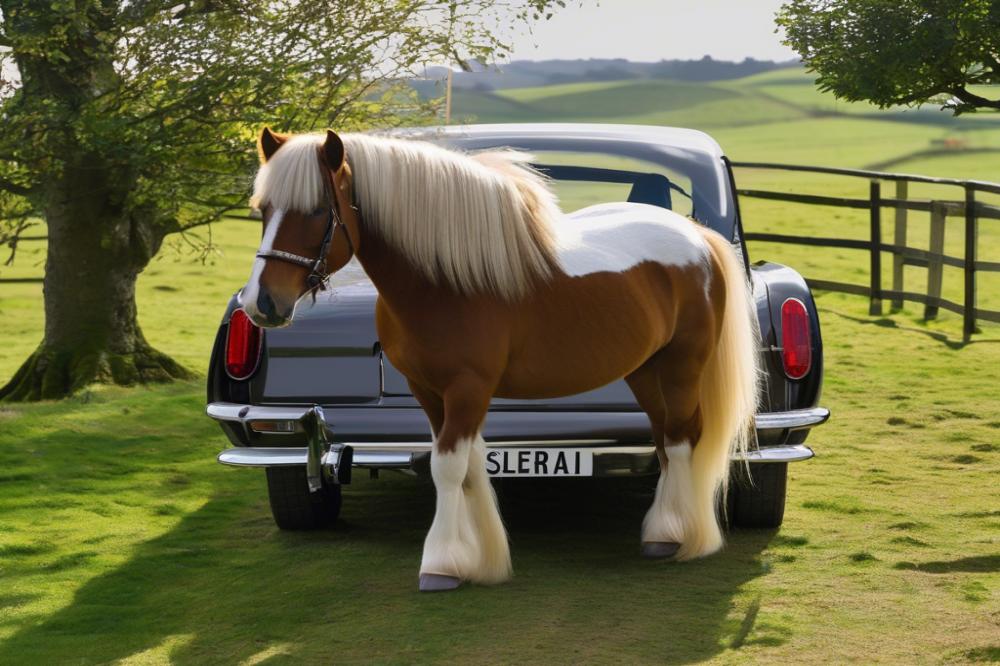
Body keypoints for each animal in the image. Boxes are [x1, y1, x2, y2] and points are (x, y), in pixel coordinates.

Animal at [242, 128, 756, 592]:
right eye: (262, 210)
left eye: (316, 211)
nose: (261, 304)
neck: (445, 280)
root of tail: (698, 237)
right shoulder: (430, 393)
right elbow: (466, 466)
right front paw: (478, 559)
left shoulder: (468, 389)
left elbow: (448, 468)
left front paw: (441, 565)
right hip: (646, 372)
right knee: (665, 440)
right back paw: (661, 532)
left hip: (682, 366)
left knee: (681, 441)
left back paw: (681, 538)